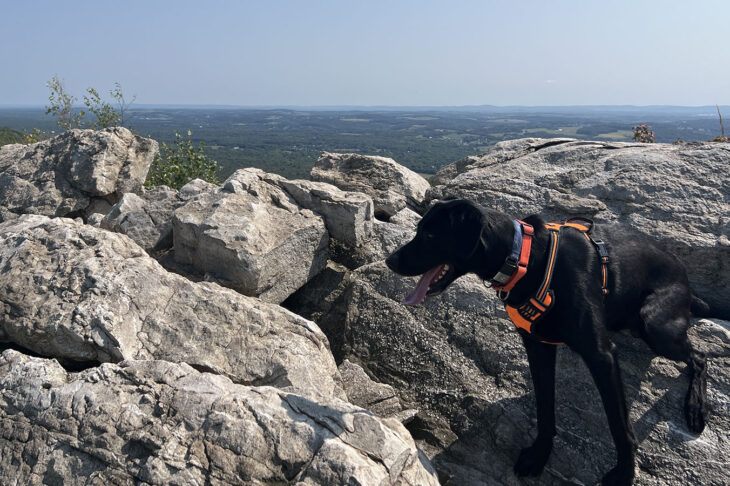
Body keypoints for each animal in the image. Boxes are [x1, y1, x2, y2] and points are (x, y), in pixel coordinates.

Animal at [384, 198, 704, 486]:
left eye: (430, 235)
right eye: (419, 230)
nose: (390, 261)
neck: (523, 259)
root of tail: (686, 278)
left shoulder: (600, 355)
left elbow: (619, 425)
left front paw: (624, 474)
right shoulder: (537, 345)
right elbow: (544, 405)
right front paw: (539, 454)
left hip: (655, 325)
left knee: (699, 359)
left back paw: (695, 408)